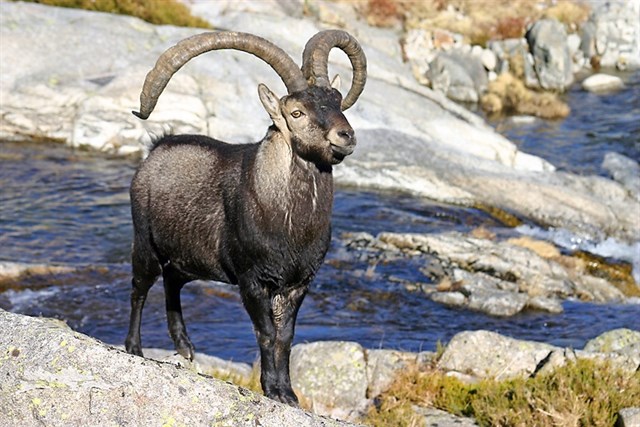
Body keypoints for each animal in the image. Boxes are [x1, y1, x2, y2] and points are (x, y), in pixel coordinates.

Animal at [125, 30, 366, 405]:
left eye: (338, 101)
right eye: (296, 112)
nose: (345, 136)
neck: (290, 224)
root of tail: (156, 148)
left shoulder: (297, 284)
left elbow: (286, 337)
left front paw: (289, 394)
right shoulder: (252, 280)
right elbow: (265, 332)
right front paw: (272, 390)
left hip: (188, 258)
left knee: (173, 281)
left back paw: (185, 346)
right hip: (146, 242)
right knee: (140, 287)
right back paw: (135, 349)